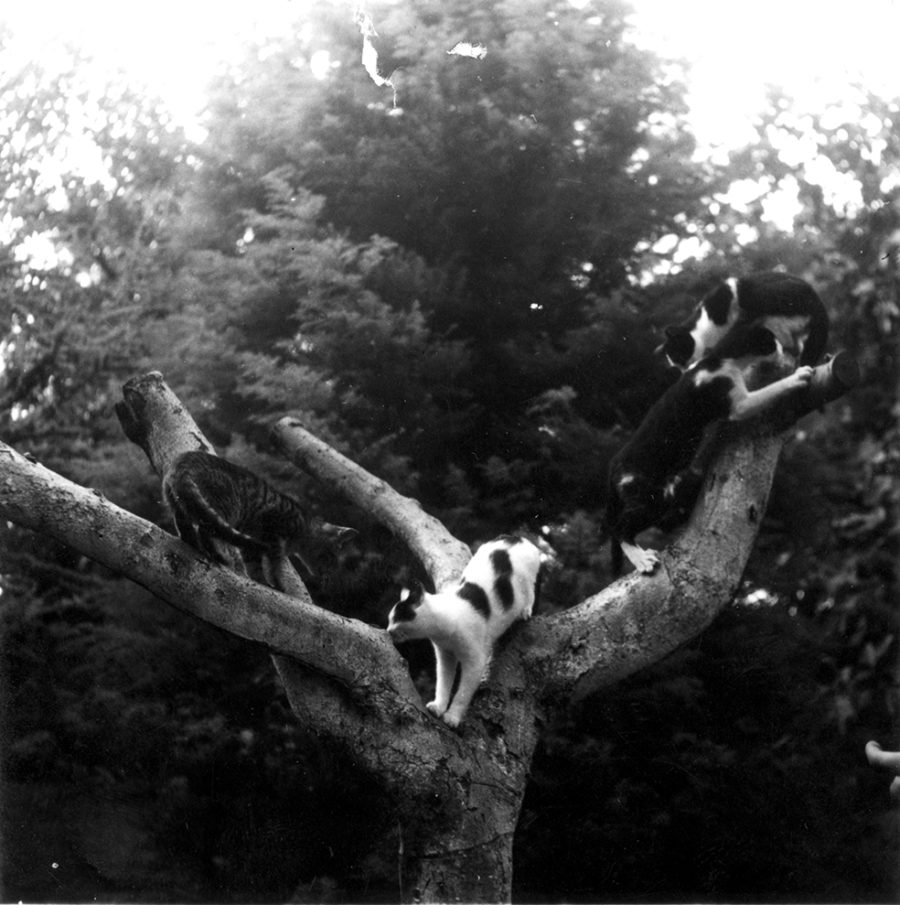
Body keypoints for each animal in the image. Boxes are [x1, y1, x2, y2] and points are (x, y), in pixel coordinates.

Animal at [163, 450, 354, 580]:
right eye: (330, 557)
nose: (330, 574)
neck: (303, 527)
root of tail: (185, 459)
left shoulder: (252, 546)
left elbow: (255, 567)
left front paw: (262, 582)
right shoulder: (272, 534)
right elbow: (274, 569)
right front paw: (279, 587)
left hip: (179, 503)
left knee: (186, 527)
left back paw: (194, 544)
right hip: (225, 508)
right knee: (206, 530)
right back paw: (219, 556)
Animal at [386, 532, 540, 732]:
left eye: (397, 619)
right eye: (389, 620)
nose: (388, 630)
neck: (444, 627)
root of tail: (514, 537)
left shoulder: (475, 662)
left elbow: (462, 693)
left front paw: (452, 717)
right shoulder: (445, 656)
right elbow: (443, 684)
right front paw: (439, 707)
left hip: (527, 579)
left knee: (530, 593)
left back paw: (525, 611)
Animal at [612, 322, 816, 572]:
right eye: (772, 341)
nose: (782, 348)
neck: (719, 359)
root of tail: (615, 466)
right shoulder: (738, 403)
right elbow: (769, 391)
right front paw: (798, 376)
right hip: (651, 496)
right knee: (619, 528)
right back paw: (641, 559)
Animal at [656, 268, 828, 370]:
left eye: (679, 356)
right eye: (677, 364)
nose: (684, 368)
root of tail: (820, 307)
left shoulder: (731, 306)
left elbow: (726, 344)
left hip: (766, 299)